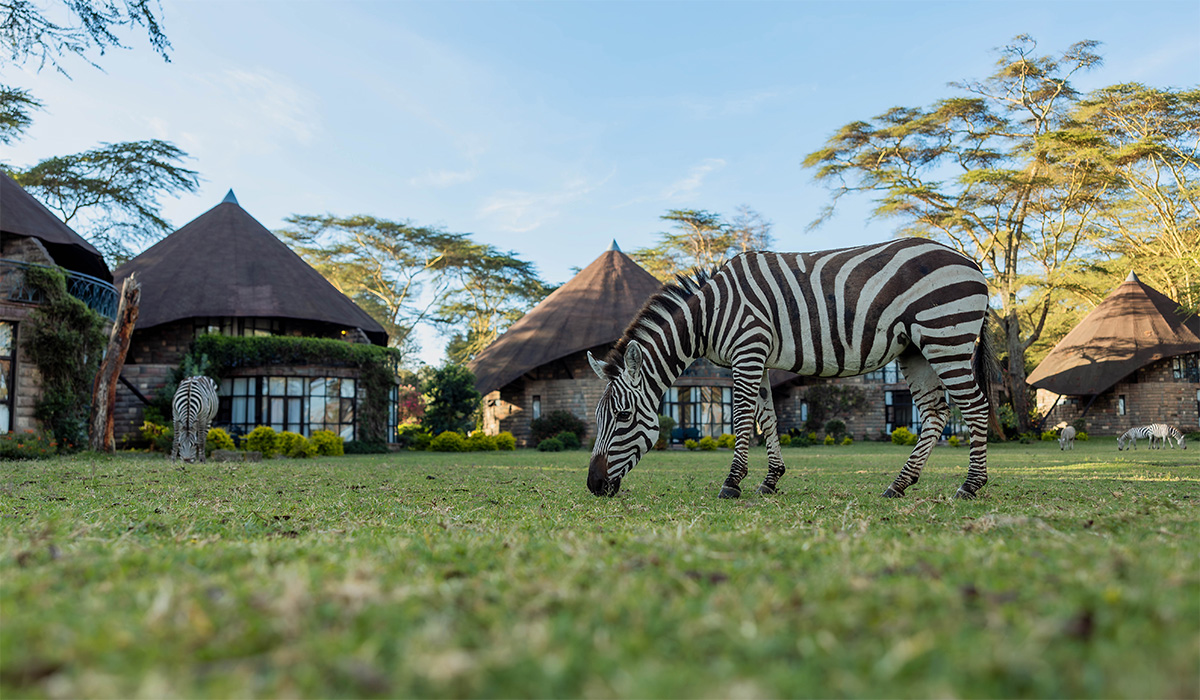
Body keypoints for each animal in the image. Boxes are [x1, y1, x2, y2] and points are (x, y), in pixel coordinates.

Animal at [586, 238, 994, 500]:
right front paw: (770, 481)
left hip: (945, 337)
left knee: (975, 407)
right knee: (936, 413)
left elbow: (742, 417)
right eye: (598, 417)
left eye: (623, 416)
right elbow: (768, 418)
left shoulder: (748, 350)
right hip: (916, 349)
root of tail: (971, 262)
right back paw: (899, 484)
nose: (593, 485)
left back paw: (970, 485)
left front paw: (732, 483)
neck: (709, 317)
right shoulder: (759, 357)